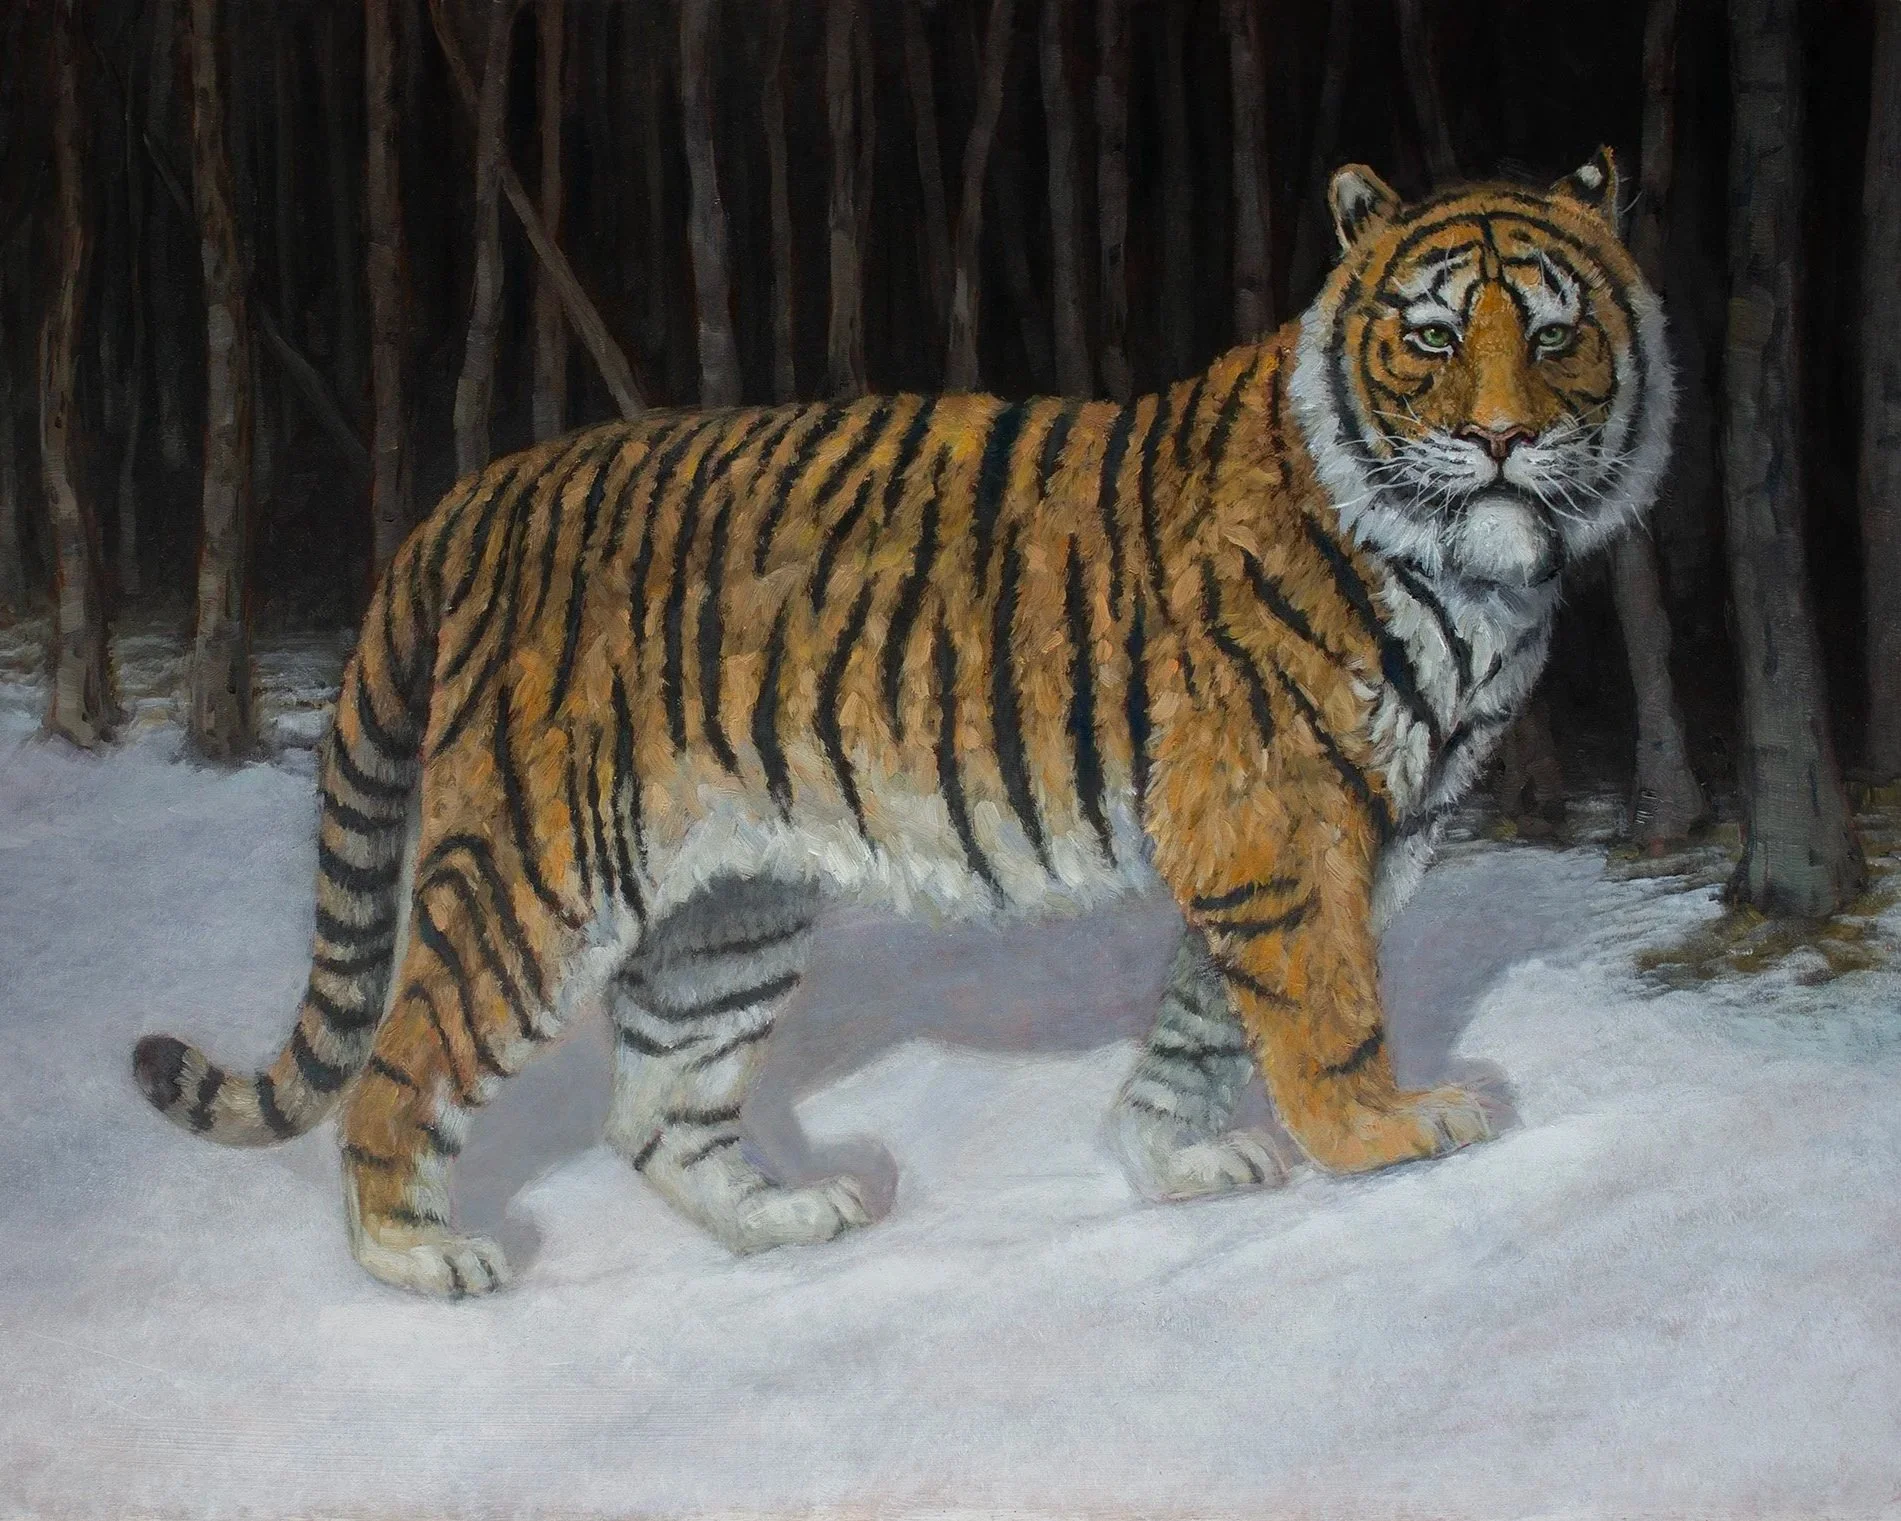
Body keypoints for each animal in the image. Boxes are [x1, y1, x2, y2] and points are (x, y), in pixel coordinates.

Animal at [132, 152, 1672, 1298]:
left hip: (729, 914)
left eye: (1554, 335)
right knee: (404, 1065)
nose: (1502, 440)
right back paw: (418, 1255)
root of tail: (484, 489)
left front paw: (1174, 1161)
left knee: (656, 1110)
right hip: (535, 875)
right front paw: (1388, 1136)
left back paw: (786, 1218)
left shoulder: (1330, 832)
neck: (1479, 575)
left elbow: (1205, 1019)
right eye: (1431, 337)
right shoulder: (1276, 820)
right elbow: (1324, 1008)